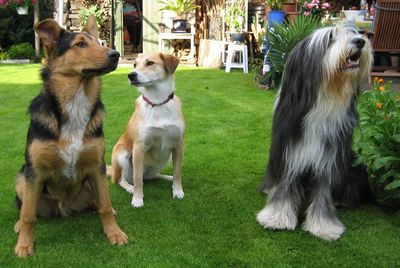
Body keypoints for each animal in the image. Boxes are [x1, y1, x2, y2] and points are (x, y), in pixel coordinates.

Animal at [14, 15, 127, 258]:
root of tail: (63, 209)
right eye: (80, 44)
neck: (75, 103)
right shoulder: (34, 172)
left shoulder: (97, 167)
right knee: (24, 207)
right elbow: (28, 215)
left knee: (98, 202)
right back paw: (18, 225)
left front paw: (114, 233)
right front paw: (25, 245)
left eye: (99, 43)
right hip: (21, 177)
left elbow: (104, 206)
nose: (115, 54)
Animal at [109, 52, 184, 207]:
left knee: (152, 176)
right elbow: (138, 179)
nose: (131, 75)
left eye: (150, 63)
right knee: (122, 180)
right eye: (134, 64)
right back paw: (129, 188)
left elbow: (178, 173)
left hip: (164, 159)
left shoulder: (178, 144)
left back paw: (167, 177)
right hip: (121, 155)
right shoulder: (139, 147)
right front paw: (137, 199)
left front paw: (177, 191)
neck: (158, 102)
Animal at [258, 26, 374, 241]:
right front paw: (277, 219)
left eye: (353, 32)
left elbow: (322, 193)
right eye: (330, 38)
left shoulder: (328, 158)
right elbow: (285, 186)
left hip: (354, 162)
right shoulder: (291, 151)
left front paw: (324, 226)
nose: (360, 41)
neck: (323, 100)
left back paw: (343, 200)